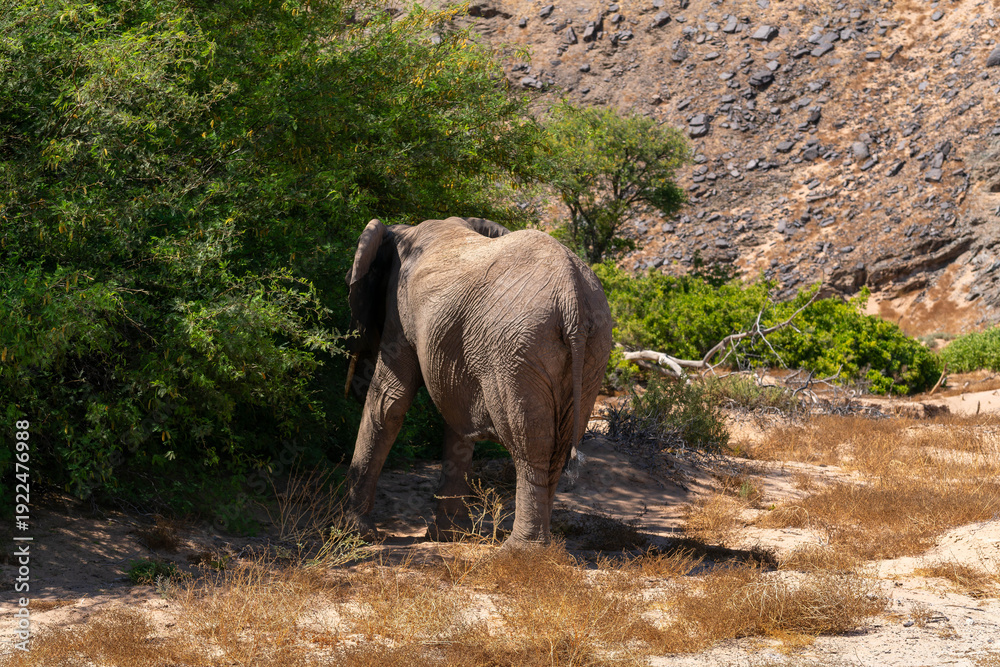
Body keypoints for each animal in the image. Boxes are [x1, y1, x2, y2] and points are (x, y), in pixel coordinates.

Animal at [343, 216, 613, 548]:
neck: (401, 230)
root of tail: (572, 296)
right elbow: (455, 414)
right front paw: (448, 536)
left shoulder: (399, 308)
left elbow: (389, 399)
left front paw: (355, 534)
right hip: (593, 348)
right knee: (559, 445)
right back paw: (541, 549)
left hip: (516, 350)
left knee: (530, 443)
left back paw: (519, 552)